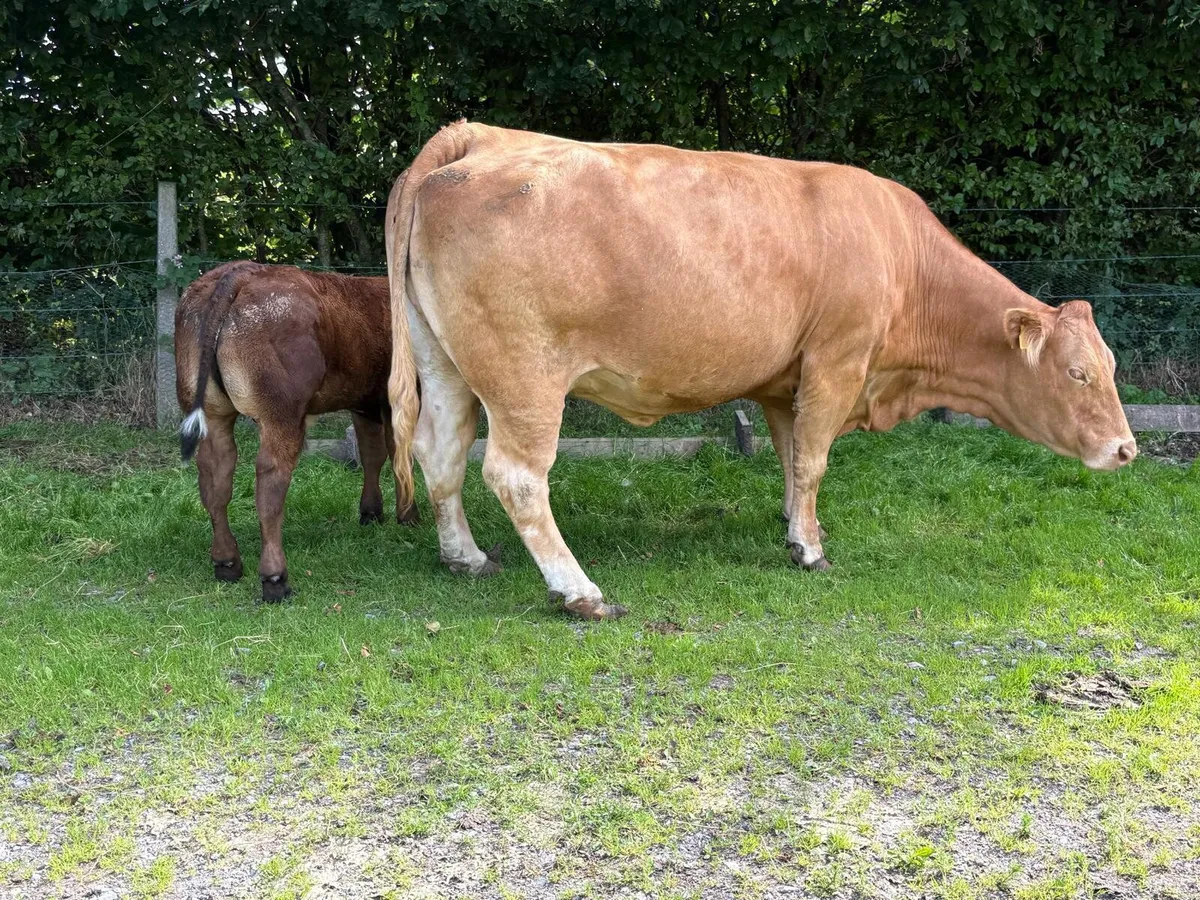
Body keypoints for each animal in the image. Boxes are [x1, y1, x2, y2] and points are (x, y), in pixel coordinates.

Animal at [175, 260, 418, 602]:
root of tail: (241, 270)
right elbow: (400, 457)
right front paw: (408, 516)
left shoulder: (365, 403)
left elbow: (372, 454)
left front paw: (371, 513)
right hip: (282, 410)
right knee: (270, 481)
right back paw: (275, 579)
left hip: (213, 411)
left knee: (216, 475)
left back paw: (227, 562)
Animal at [383, 122, 1136, 621]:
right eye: (1077, 374)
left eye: (1109, 365)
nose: (1127, 449)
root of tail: (475, 135)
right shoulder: (837, 361)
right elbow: (814, 459)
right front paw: (809, 548)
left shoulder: (784, 381)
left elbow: (790, 456)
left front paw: (793, 522)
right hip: (525, 378)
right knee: (514, 475)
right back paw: (580, 591)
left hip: (445, 365)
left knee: (439, 451)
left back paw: (465, 557)